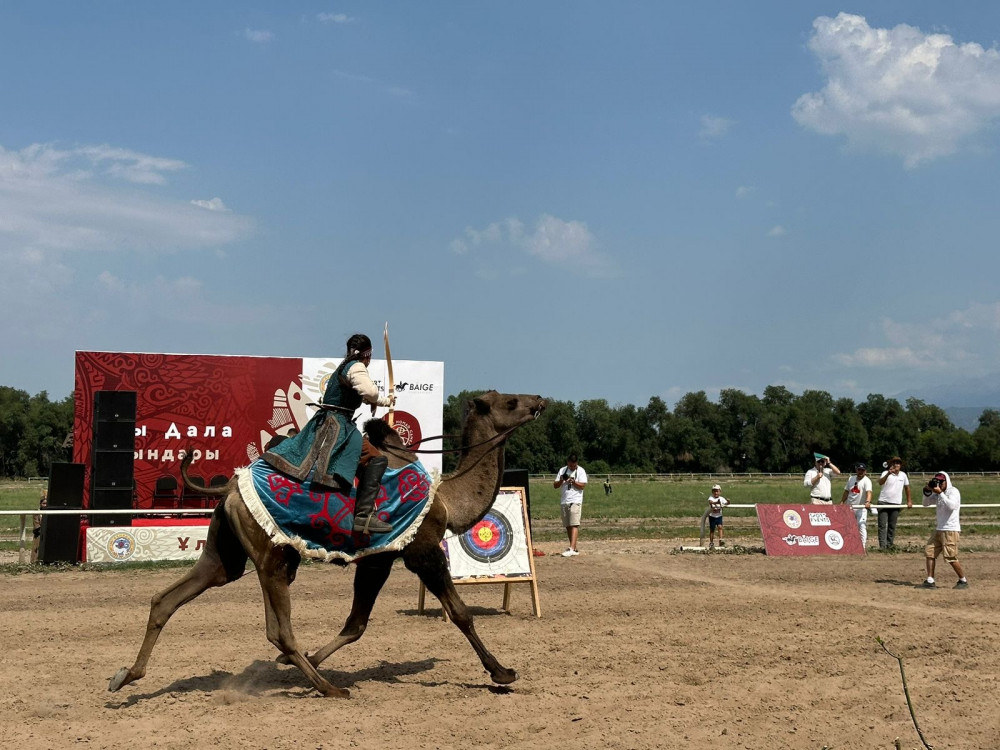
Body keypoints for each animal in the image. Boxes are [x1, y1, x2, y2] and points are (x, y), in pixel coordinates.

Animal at [109, 394, 548, 700]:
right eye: (510, 401)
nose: (540, 400)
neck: (446, 498)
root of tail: (230, 486)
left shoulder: (378, 559)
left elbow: (356, 624)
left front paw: (298, 663)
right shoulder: (422, 551)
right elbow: (461, 614)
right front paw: (502, 673)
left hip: (225, 554)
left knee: (167, 598)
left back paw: (124, 676)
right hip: (270, 557)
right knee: (279, 629)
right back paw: (329, 688)